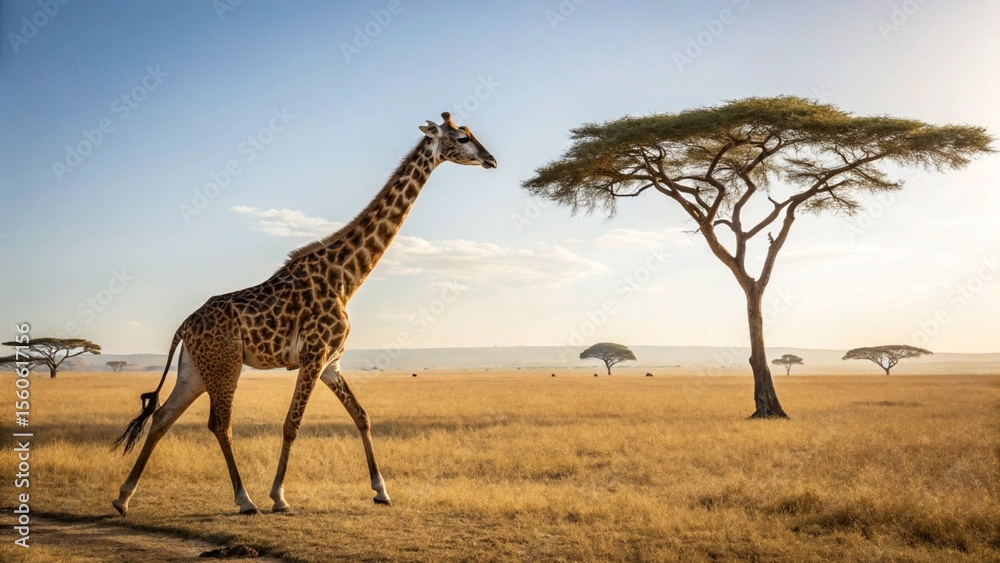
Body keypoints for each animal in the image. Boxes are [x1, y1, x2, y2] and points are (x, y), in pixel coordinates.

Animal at [112, 112, 496, 516]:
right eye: (461, 138)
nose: (491, 160)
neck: (346, 277)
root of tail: (184, 325)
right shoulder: (313, 355)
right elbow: (291, 424)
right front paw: (279, 496)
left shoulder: (331, 363)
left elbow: (362, 416)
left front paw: (381, 491)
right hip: (226, 365)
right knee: (220, 424)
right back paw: (245, 500)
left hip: (196, 370)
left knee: (162, 417)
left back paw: (123, 497)